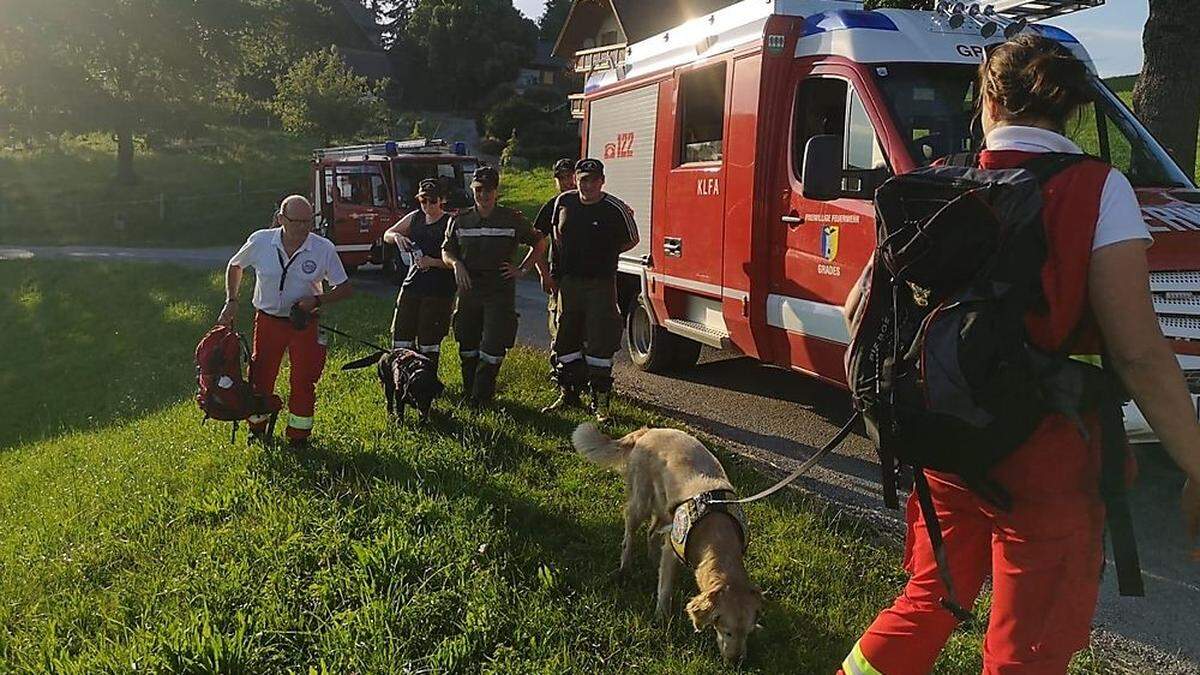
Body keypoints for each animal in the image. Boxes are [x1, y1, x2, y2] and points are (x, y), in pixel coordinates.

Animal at [568, 422, 758, 658]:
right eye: (727, 630)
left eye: (748, 633)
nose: (737, 661)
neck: (718, 531)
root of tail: (648, 431)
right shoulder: (672, 548)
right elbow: (665, 589)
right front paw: (661, 617)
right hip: (642, 501)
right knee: (629, 534)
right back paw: (625, 567)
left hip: (664, 509)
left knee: (651, 532)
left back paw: (651, 561)